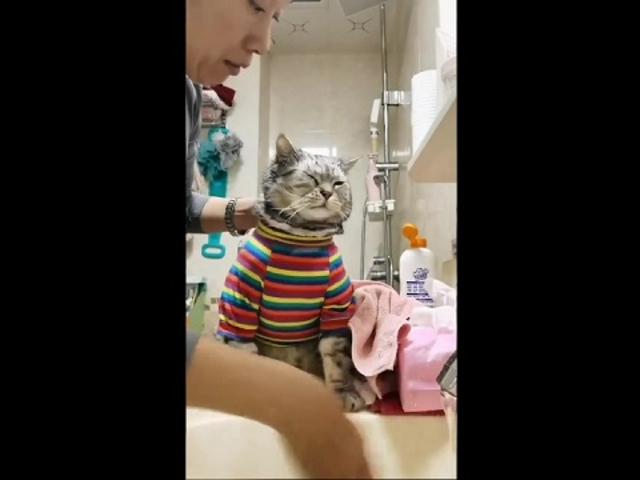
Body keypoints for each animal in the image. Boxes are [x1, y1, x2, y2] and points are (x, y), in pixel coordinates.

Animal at [215, 133, 367, 412]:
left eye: (338, 183)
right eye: (312, 178)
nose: (327, 192)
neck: (301, 240)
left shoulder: (336, 308)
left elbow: (336, 357)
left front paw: (343, 393)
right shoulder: (239, 302)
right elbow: (246, 355)